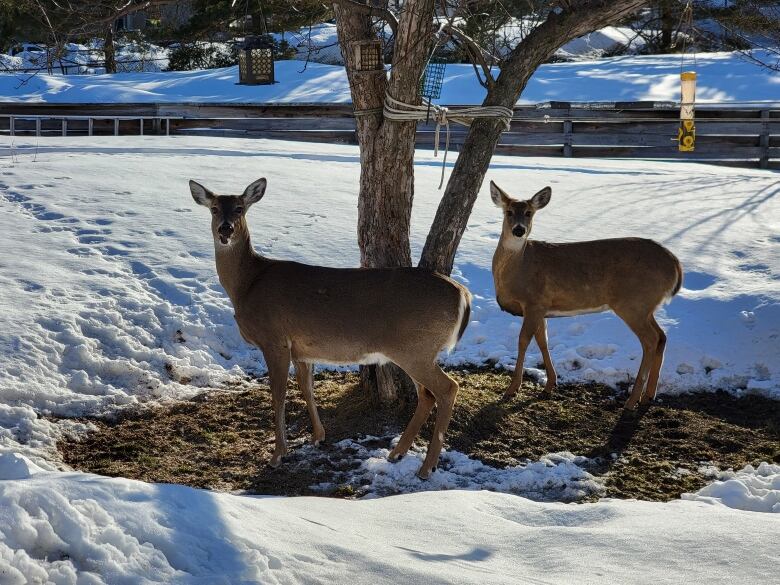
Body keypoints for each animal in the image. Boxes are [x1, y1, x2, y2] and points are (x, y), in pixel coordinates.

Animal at [190, 177, 470, 474]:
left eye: (240, 208)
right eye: (214, 208)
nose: (225, 229)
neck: (247, 284)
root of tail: (463, 294)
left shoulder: (274, 339)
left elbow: (278, 394)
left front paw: (278, 454)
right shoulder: (301, 349)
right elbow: (306, 387)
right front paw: (318, 436)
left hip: (416, 348)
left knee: (448, 388)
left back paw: (426, 468)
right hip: (416, 350)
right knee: (428, 395)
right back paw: (397, 453)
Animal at [494, 180, 684, 408]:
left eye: (529, 213)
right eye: (509, 211)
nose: (519, 230)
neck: (517, 268)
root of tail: (675, 264)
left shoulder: (533, 301)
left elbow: (523, 341)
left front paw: (512, 389)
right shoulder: (542, 306)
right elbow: (543, 340)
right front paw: (550, 384)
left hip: (633, 303)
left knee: (650, 340)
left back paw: (632, 400)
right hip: (646, 306)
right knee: (662, 336)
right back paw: (649, 395)